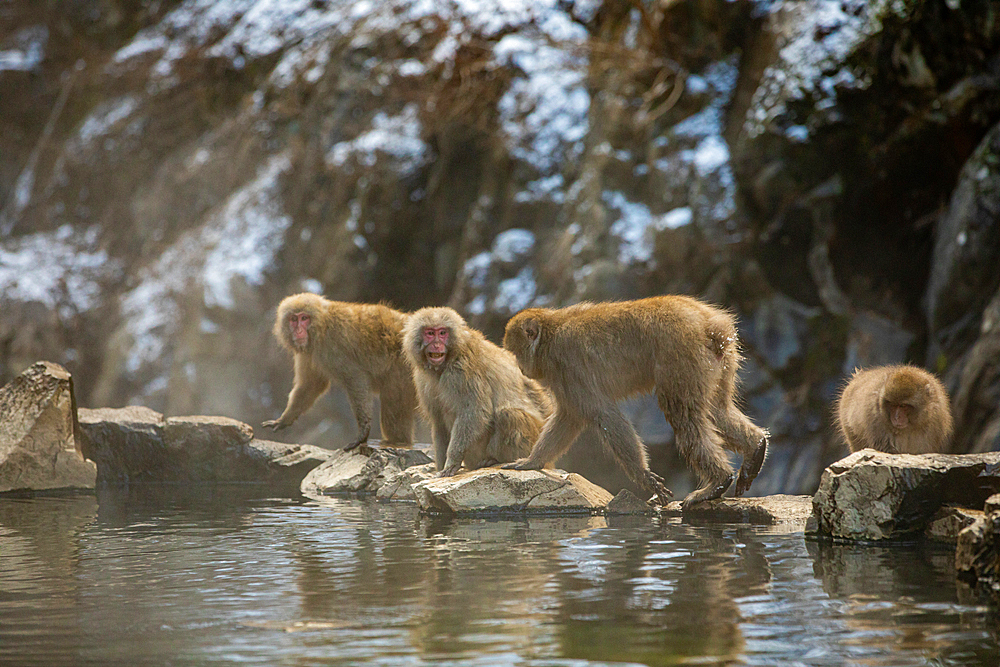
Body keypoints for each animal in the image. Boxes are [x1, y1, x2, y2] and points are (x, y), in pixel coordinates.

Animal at [262, 294, 418, 452]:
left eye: (304, 318)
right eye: (294, 319)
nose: (298, 331)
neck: (322, 326)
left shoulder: (334, 345)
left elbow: (355, 378)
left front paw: (363, 431)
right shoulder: (309, 351)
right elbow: (311, 384)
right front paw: (285, 419)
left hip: (403, 368)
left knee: (393, 400)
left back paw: (397, 441)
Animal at [400, 306, 556, 478]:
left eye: (442, 333)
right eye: (429, 333)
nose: (436, 345)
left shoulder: (462, 371)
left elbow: (474, 412)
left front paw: (452, 461)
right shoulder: (422, 379)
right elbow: (439, 421)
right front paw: (440, 467)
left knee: (509, 415)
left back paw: (495, 459)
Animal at [504, 294, 768, 508]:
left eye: (516, 353)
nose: (521, 368)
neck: (550, 333)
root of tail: (709, 323)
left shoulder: (567, 363)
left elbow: (603, 414)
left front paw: (643, 475)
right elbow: (570, 416)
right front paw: (533, 461)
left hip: (683, 355)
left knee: (683, 415)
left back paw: (717, 481)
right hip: (722, 359)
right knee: (717, 409)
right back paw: (755, 447)